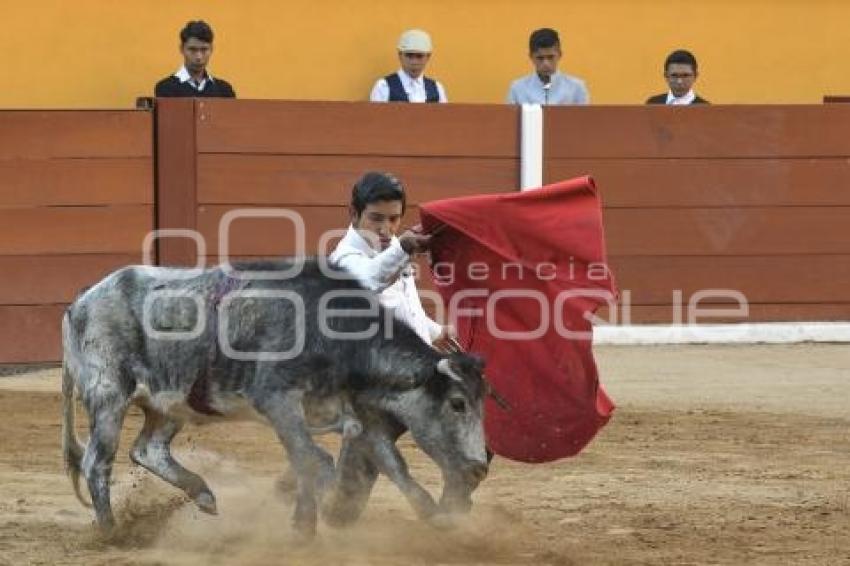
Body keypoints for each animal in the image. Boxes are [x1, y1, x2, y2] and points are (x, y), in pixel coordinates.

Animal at [61, 260, 490, 540]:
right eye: (457, 403)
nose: (479, 468)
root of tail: (80, 302)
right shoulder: (277, 402)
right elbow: (312, 459)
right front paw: (306, 524)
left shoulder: (361, 415)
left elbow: (392, 464)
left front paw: (435, 516)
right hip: (109, 395)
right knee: (97, 462)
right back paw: (111, 533)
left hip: (169, 402)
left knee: (147, 449)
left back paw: (203, 494)